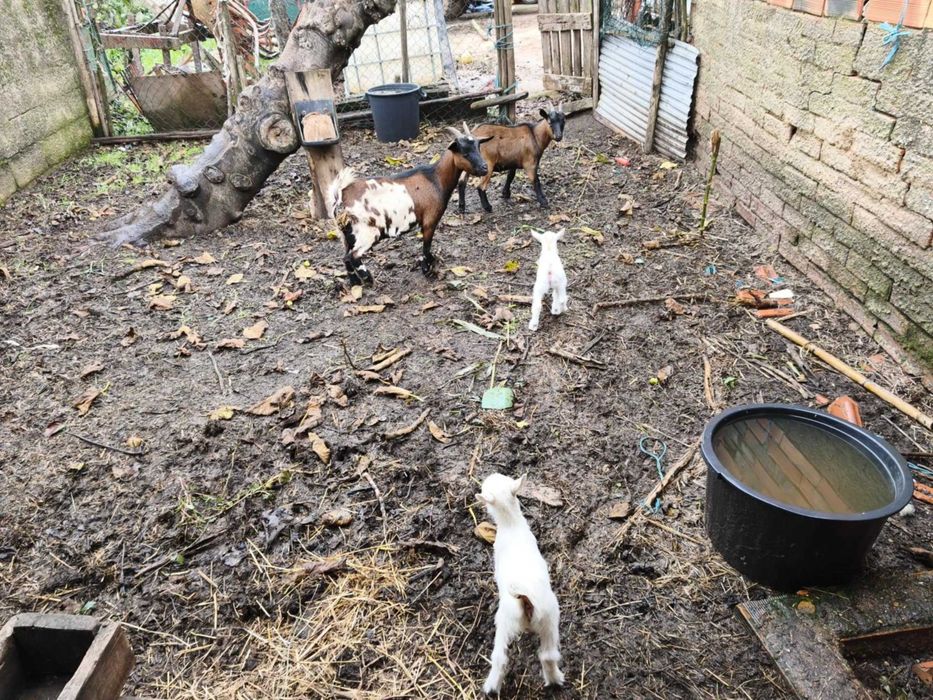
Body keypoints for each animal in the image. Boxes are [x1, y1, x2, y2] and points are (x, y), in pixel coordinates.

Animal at [325, 123, 491, 285]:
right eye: (465, 153)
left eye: (479, 148)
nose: (485, 168)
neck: (435, 178)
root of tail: (341, 194)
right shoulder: (430, 220)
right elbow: (426, 247)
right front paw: (427, 270)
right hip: (367, 232)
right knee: (352, 256)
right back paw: (368, 279)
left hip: (346, 234)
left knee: (345, 257)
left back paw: (355, 283)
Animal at [476, 472, 564, 695]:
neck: (511, 524)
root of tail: (525, 597)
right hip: (549, 618)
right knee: (548, 655)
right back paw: (556, 680)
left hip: (505, 621)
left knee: (500, 657)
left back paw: (491, 687)